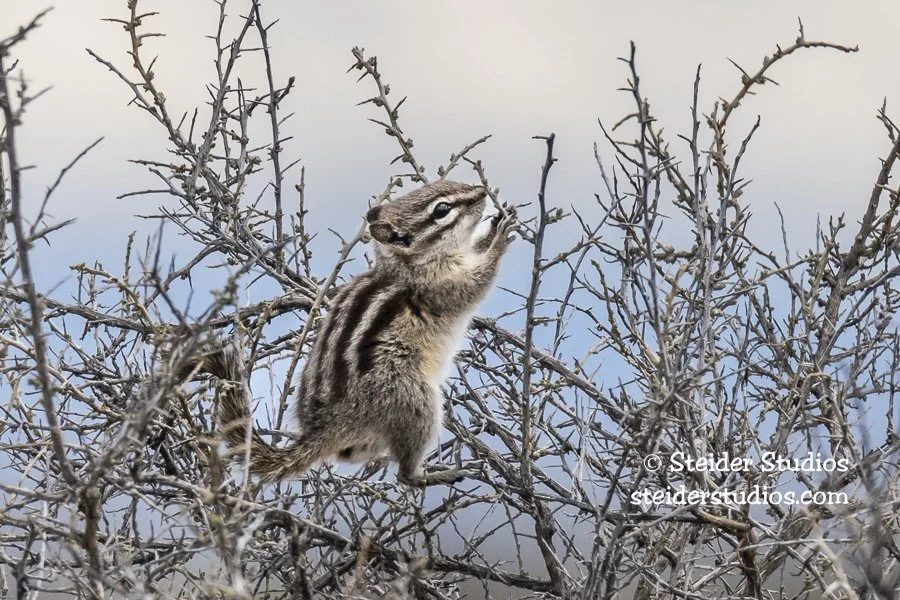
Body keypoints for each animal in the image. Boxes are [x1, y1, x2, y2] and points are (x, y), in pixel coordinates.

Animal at [187, 181, 516, 487]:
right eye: (442, 209)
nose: (482, 191)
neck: (409, 262)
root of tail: (325, 426)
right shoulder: (438, 286)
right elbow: (476, 284)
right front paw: (499, 240)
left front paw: (494, 226)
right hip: (412, 396)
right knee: (404, 474)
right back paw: (430, 474)